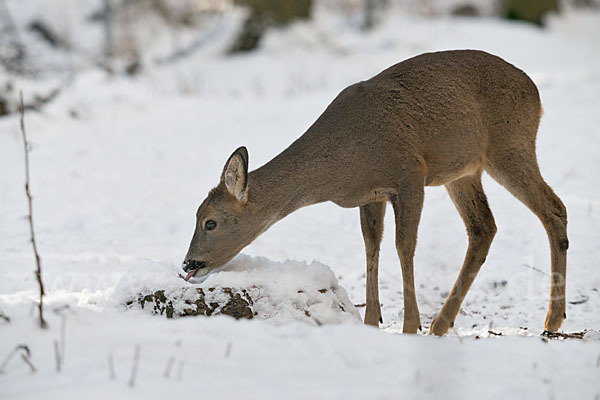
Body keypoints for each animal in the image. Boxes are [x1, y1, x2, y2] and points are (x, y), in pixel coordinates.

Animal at [185, 50, 568, 338]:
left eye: (210, 222)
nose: (189, 263)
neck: (345, 160)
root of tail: (535, 92)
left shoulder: (411, 176)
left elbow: (404, 246)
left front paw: (409, 325)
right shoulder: (370, 195)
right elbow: (372, 246)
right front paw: (372, 321)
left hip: (510, 146)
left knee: (554, 208)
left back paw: (552, 320)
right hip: (463, 171)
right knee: (483, 227)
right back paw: (442, 323)